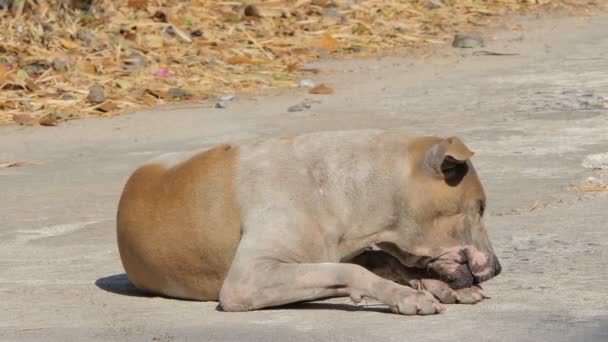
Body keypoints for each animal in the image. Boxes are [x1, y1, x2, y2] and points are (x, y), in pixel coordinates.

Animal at [116, 130, 502, 316]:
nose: (498, 268)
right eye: (480, 207)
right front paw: (404, 296)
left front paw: (430, 285)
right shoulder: (247, 280)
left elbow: (380, 262)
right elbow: (352, 271)